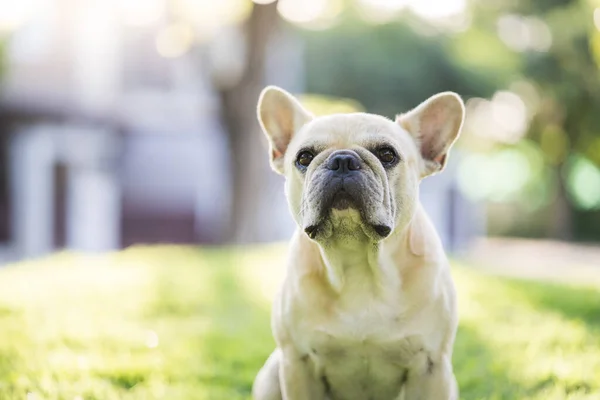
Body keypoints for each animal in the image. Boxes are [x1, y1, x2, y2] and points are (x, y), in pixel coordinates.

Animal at [251, 85, 466, 400]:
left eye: (387, 154)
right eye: (304, 157)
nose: (342, 160)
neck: (359, 262)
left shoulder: (431, 367)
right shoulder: (297, 363)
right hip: (271, 372)